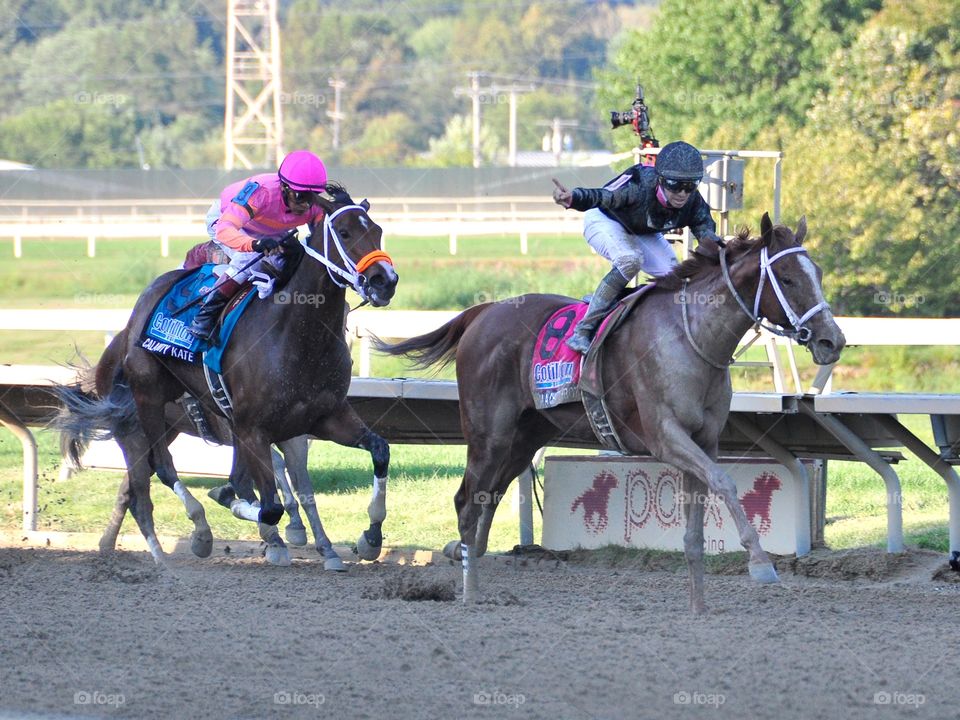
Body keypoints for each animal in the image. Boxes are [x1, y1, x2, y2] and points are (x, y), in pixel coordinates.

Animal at [53, 187, 398, 568]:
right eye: (346, 233)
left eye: (377, 231)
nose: (385, 281)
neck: (298, 337)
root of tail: (124, 333)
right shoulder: (251, 429)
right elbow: (266, 503)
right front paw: (259, 524)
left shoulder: (325, 417)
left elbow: (379, 451)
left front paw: (369, 538)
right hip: (144, 409)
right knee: (159, 473)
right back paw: (187, 541)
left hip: (166, 425)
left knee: (135, 488)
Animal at [378, 214, 844, 612]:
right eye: (788, 278)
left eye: (819, 274)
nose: (832, 341)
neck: (689, 336)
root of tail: (484, 312)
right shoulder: (664, 436)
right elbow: (726, 482)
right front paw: (761, 564)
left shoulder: (703, 440)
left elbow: (696, 528)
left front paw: (698, 607)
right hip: (488, 434)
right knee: (465, 501)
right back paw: (469, 593)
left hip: (524, 438)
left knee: (486, 498)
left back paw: (471, 573)